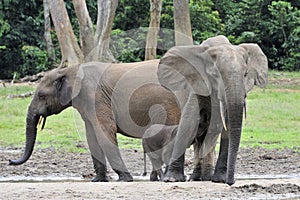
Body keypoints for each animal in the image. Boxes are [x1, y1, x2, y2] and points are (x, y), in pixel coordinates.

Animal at [158, 35, 268, 185]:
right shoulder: (196, 83)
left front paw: (220, 180)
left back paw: (202, 178)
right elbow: (189, 121)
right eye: (216, 74)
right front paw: (172, 179)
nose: (231, 182)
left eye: (245, 74)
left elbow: (227, 126)